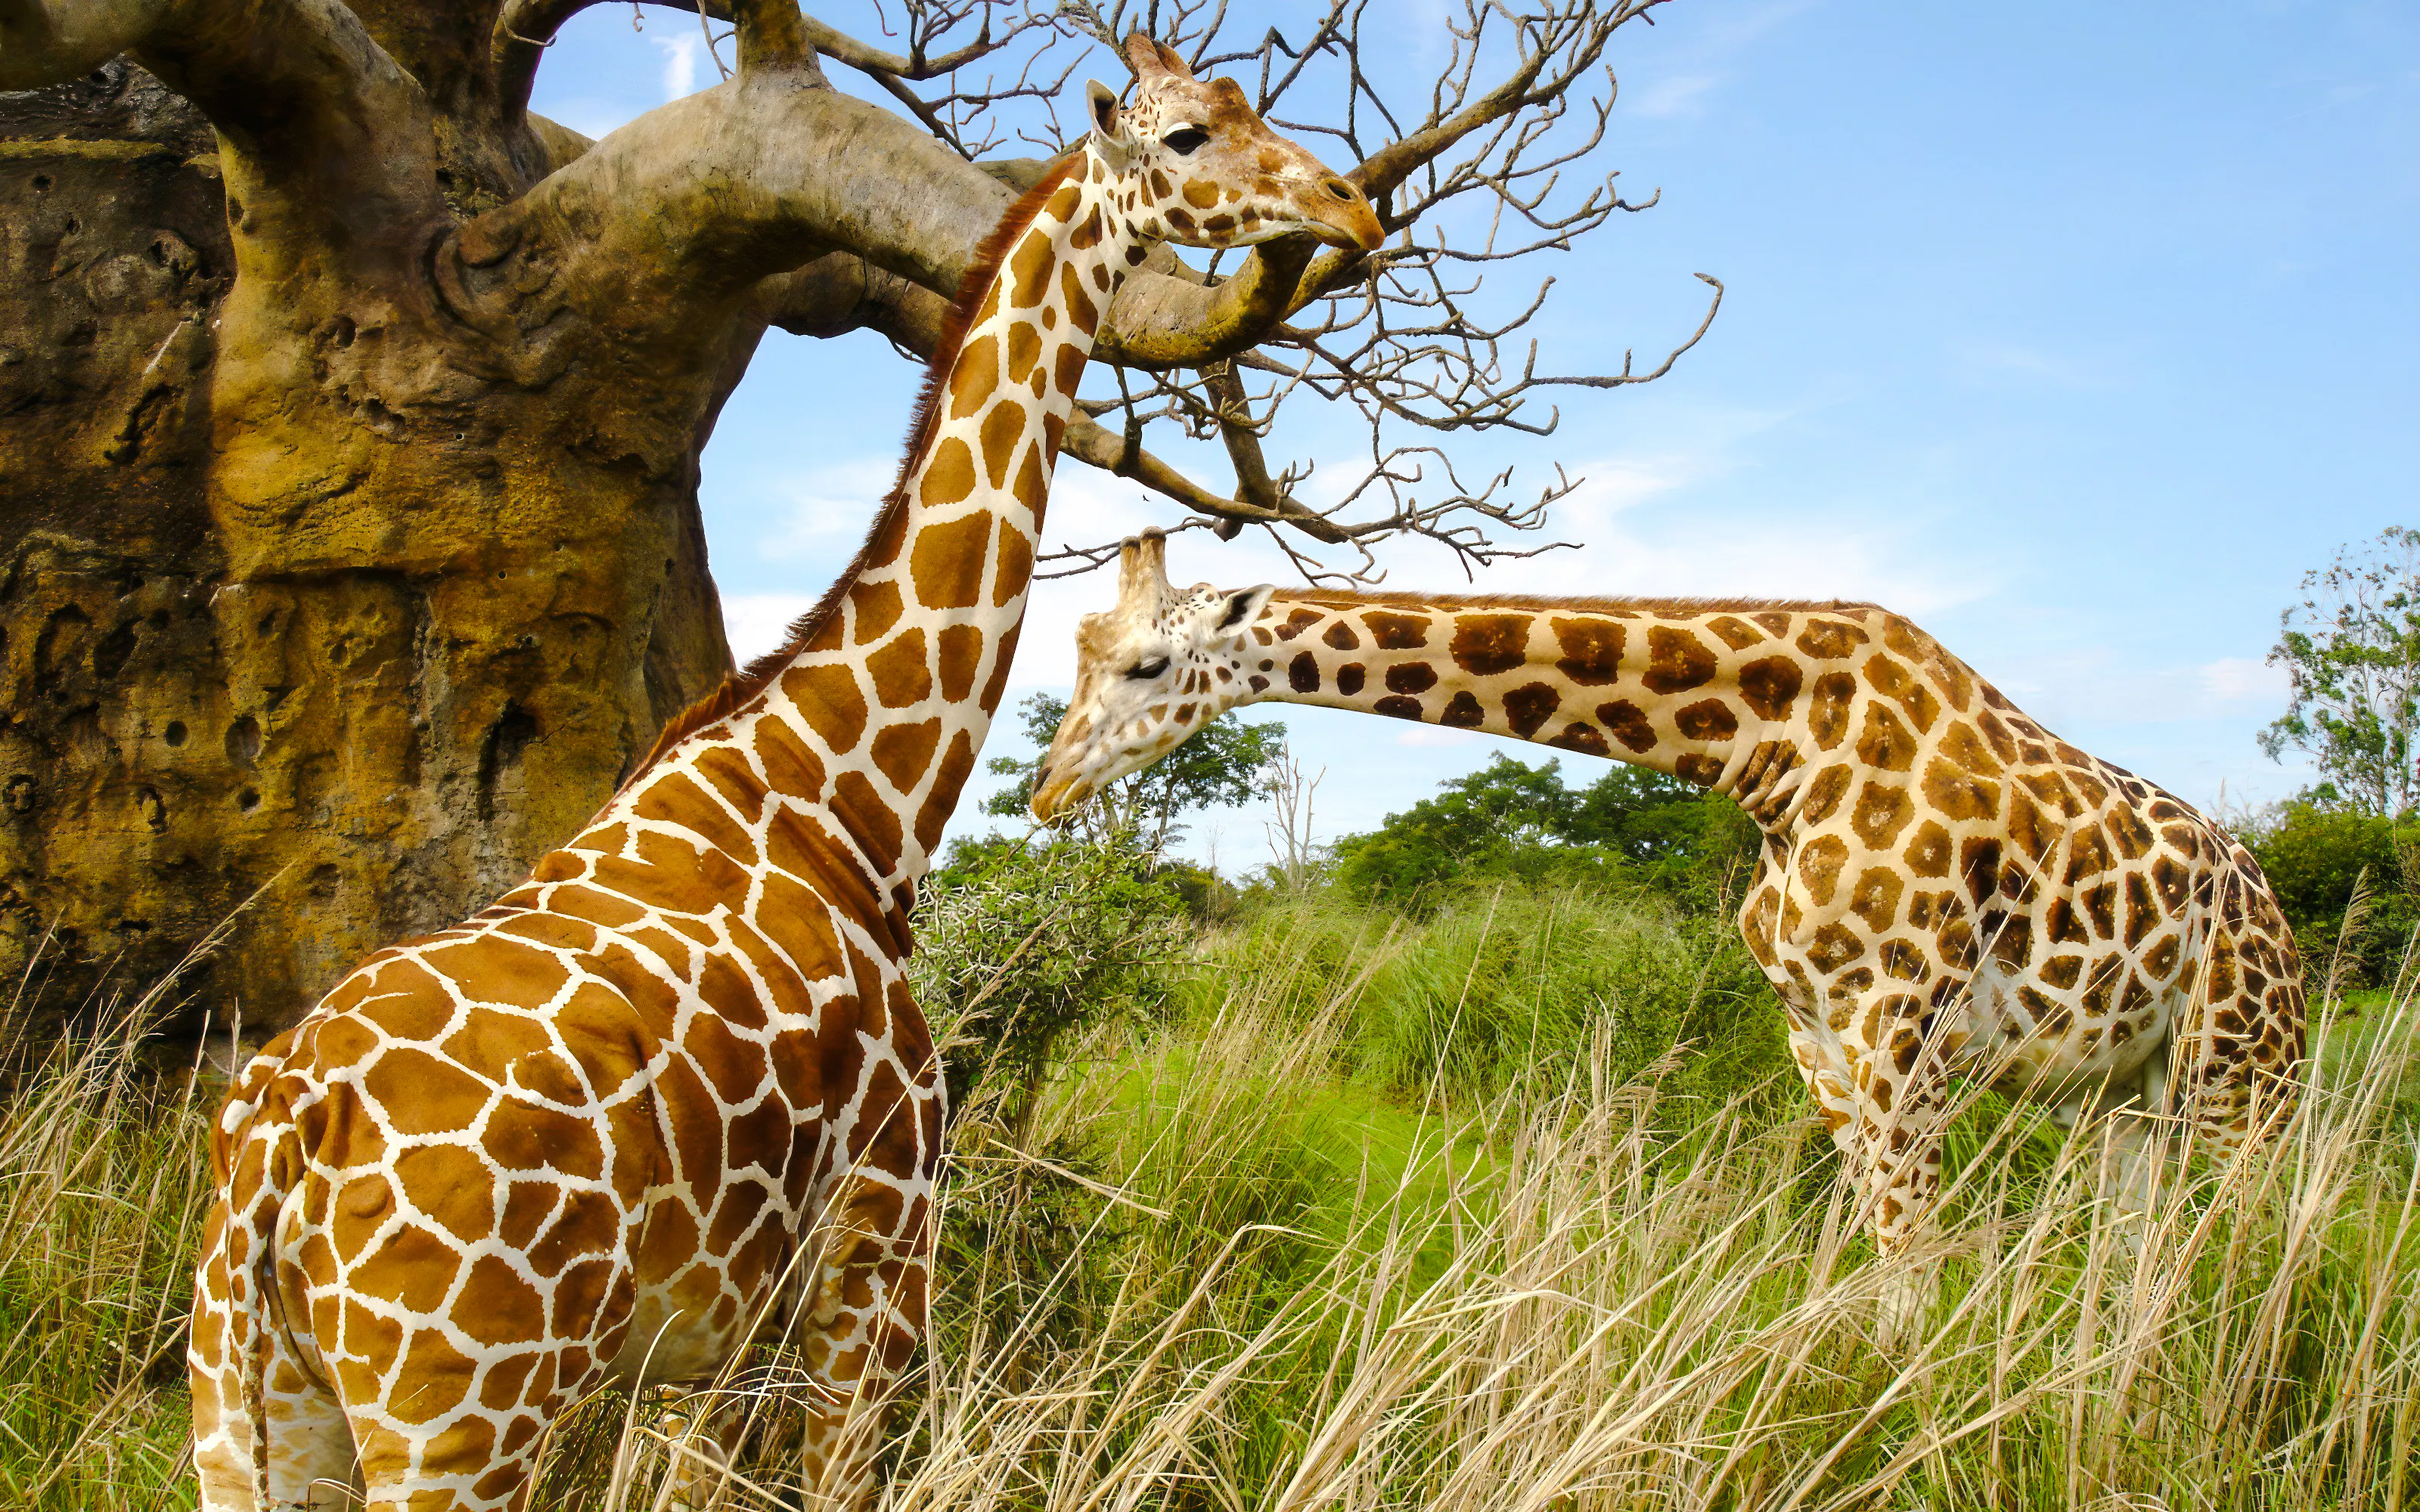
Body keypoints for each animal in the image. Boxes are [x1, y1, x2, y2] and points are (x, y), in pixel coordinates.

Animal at [185, 45, 1381, 1512]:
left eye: (1247, 103)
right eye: (1187, 136)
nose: (1348, 204)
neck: (845, 798)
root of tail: (276, 1151)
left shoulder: (707, 1333)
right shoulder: (878, 1248)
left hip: (252, 1407)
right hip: (458, 1414)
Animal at [1031, 533, 2306, 1316]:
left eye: (1147, 664)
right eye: (1081, 653)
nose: (1046, 790)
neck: (1775, 753)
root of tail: (2279, 920)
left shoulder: (1901, 1018)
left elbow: (1910, 1263)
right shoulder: (1816, 1032)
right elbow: (1876, 1260)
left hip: (2244, 1077)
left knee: (2248, 1242)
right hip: (2123, 1094)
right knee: (2141, 1249)